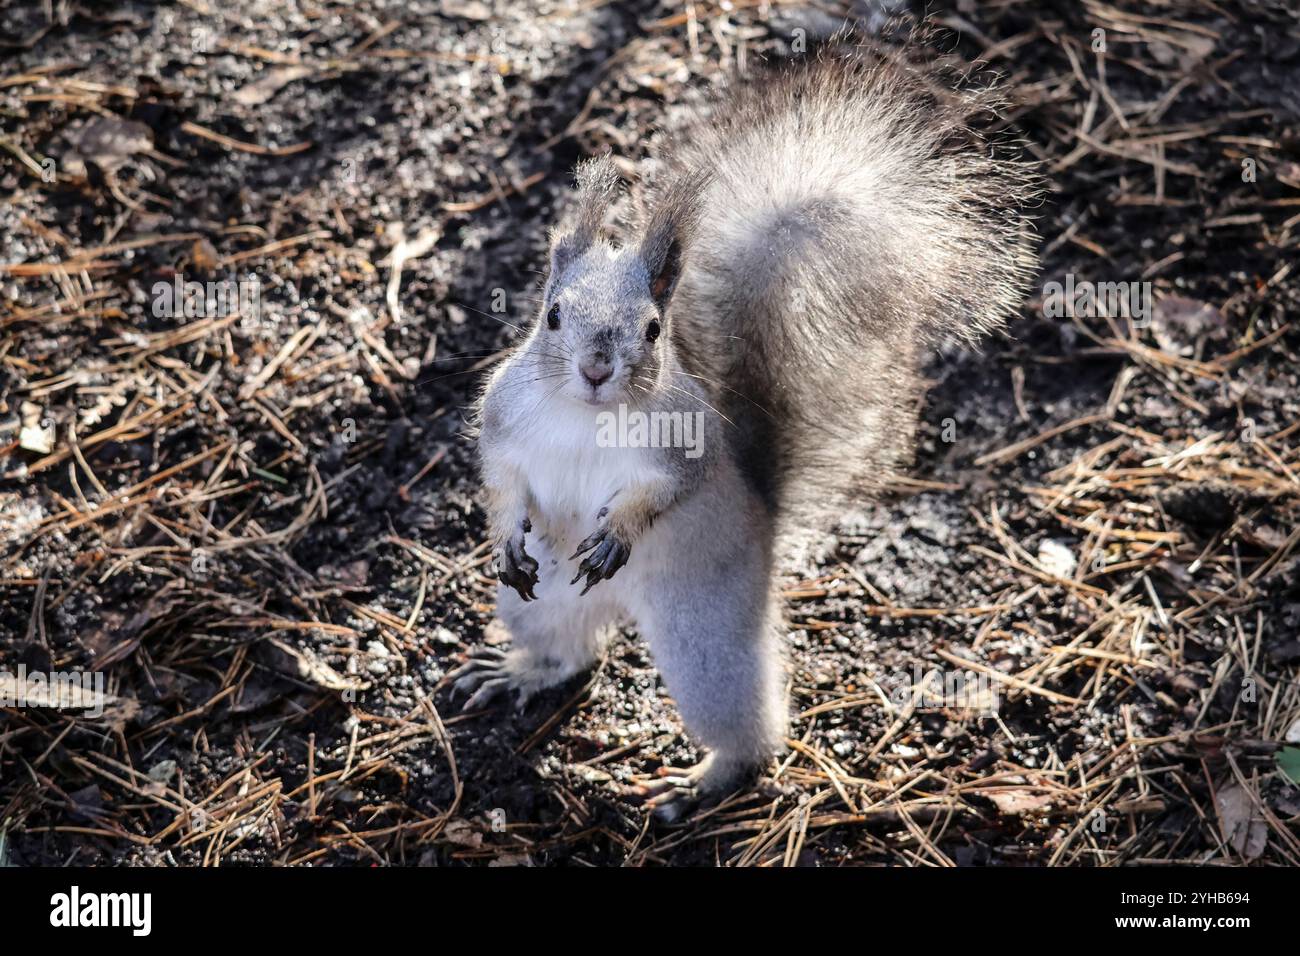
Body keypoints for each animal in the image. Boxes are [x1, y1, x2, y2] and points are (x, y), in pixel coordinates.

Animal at [451, 43, 1040, 819]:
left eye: (652, 329)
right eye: (551, 315)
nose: (596, 369)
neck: (587, 417)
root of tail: (765, 512)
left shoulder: (682, 448)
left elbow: (662, 491)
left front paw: (620, 529)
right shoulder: (505, 423)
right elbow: (504, 482)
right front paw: (504, 534)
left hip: (705, 632)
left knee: (743, 725)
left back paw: (704, 780)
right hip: (543, 600)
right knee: (571, 651)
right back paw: (519, 671)